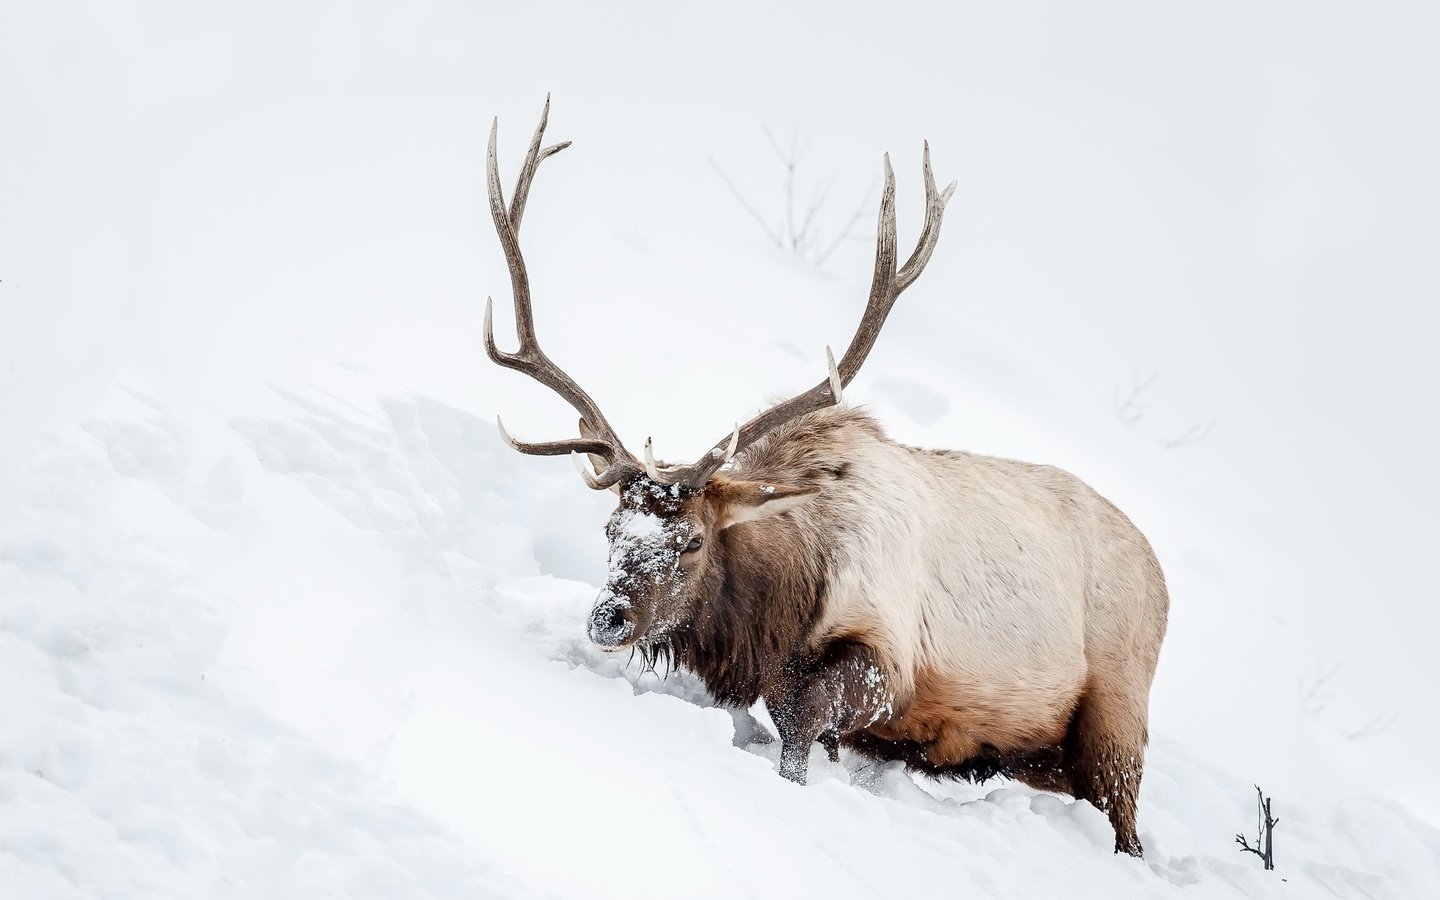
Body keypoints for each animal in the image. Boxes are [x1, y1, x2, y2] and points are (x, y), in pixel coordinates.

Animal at [483, 100, 1169, 858]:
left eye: (692, 540)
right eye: (610, 527)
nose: (609, 616)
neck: (778, 610)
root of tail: (1159, 569)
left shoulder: (887, 660)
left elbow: (800, 727)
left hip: (1118, 713)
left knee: (1126, 820)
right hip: (1039, 752)